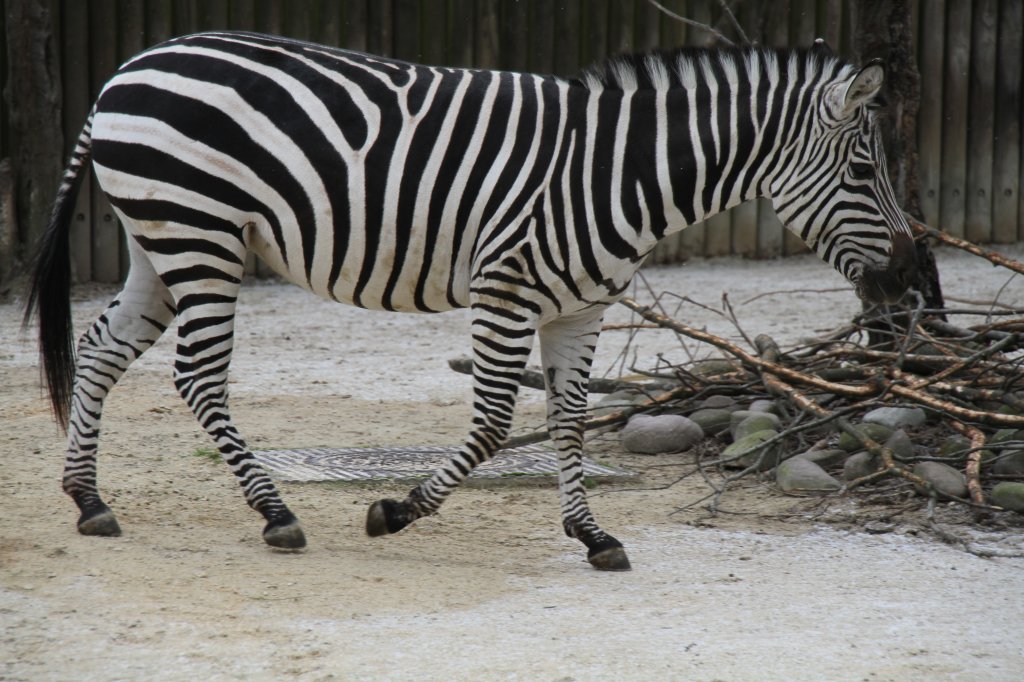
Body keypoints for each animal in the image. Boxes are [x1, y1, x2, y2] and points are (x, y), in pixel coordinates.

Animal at [25, 34, 921, 569]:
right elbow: (493, 422)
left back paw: (89, 501)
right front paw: (395, 511)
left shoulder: (580, 307)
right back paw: (275, 514)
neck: (617, 173)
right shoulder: (507, 289)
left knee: (102, 349)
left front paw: (591, 534)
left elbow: (568, 420)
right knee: (199, 378)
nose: (910, 275)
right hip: (199, 234)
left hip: (160, 239)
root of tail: (130, 68)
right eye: (863, 172)